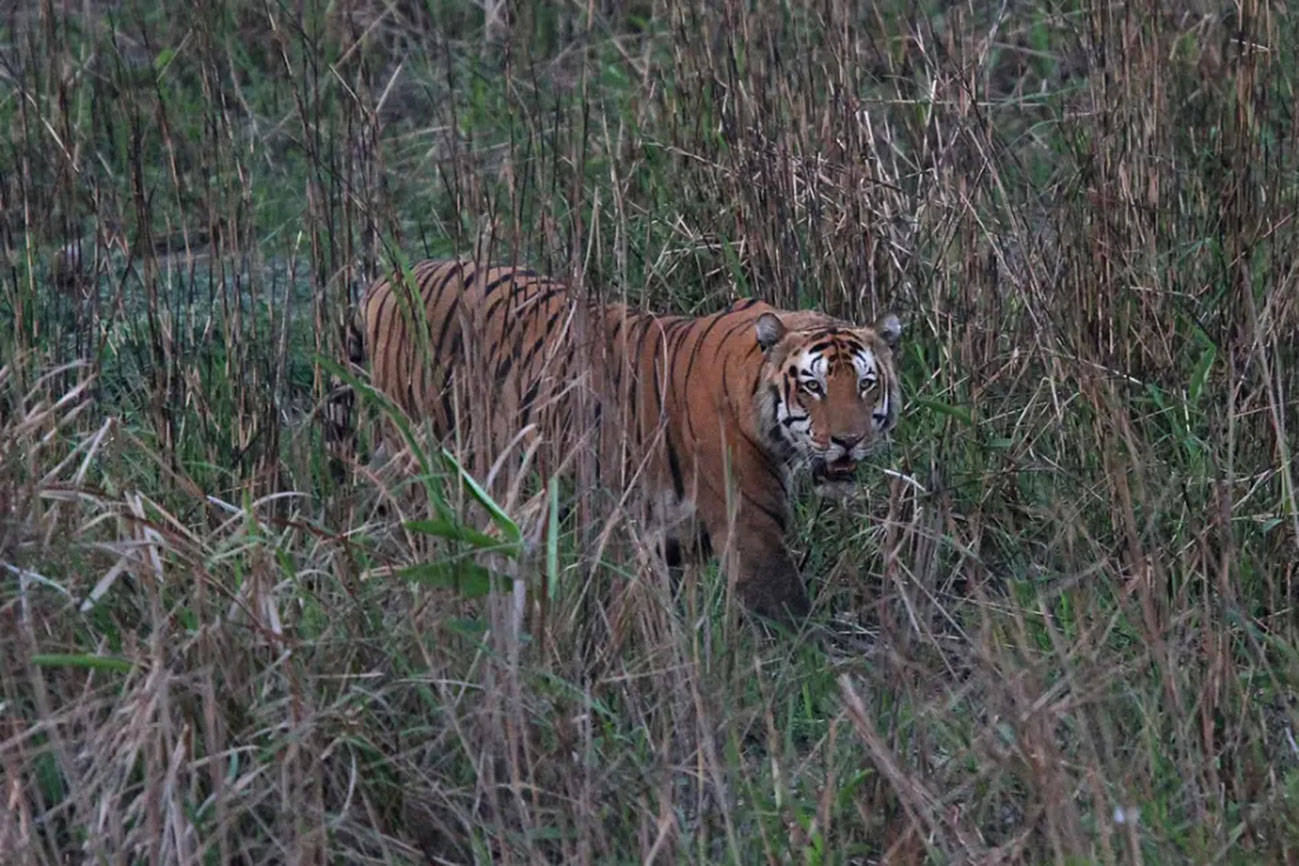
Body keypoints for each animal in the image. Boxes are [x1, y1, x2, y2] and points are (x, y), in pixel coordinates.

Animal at [355, 257, 904, 623]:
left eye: (865, 384)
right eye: (812, 386)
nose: (848, 440)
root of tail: (387, 281)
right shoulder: (753, 530)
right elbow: (790, 618)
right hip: (418, 458)